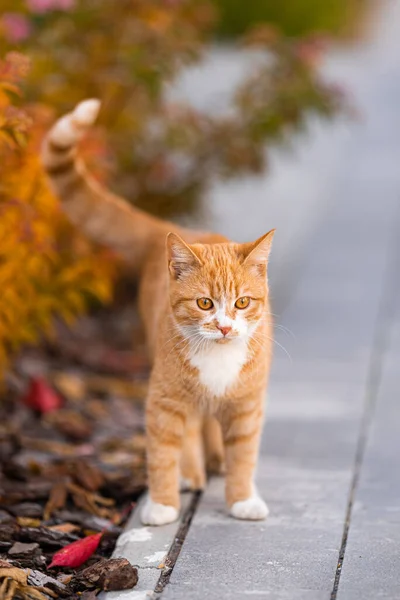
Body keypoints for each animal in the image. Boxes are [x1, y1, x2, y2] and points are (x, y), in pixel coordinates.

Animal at [41, 99, 276, 524]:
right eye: (204, 303)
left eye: (242, 302)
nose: (224, 327)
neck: (218, 359)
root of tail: (171, 228)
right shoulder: (164, 400)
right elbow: (164, 452)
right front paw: (163, 504)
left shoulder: (247, 404)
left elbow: (244, 454)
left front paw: (241, 498)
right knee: (190, 434)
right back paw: (191, 474)